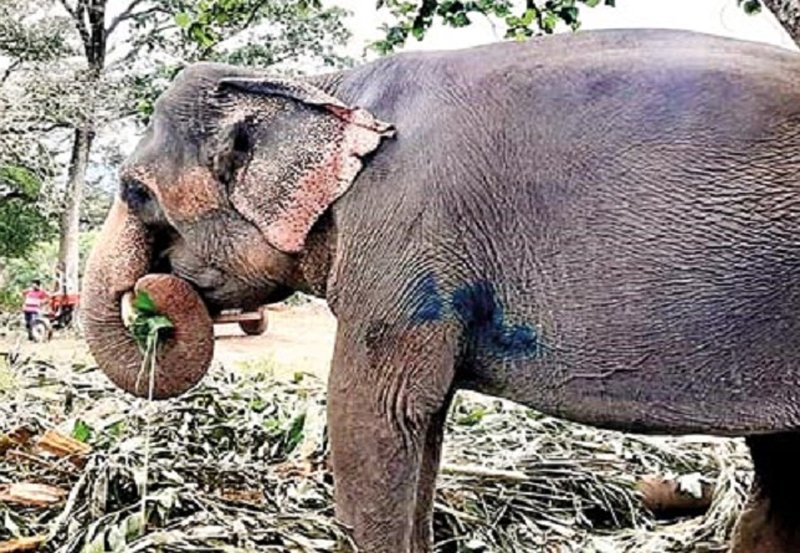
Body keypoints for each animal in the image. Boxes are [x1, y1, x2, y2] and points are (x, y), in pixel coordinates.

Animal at [82, 27, 800, 552]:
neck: (326, 89)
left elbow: (371, 414)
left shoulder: (403, 236)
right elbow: (422, 423)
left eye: (134, 191)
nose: (154, 298)